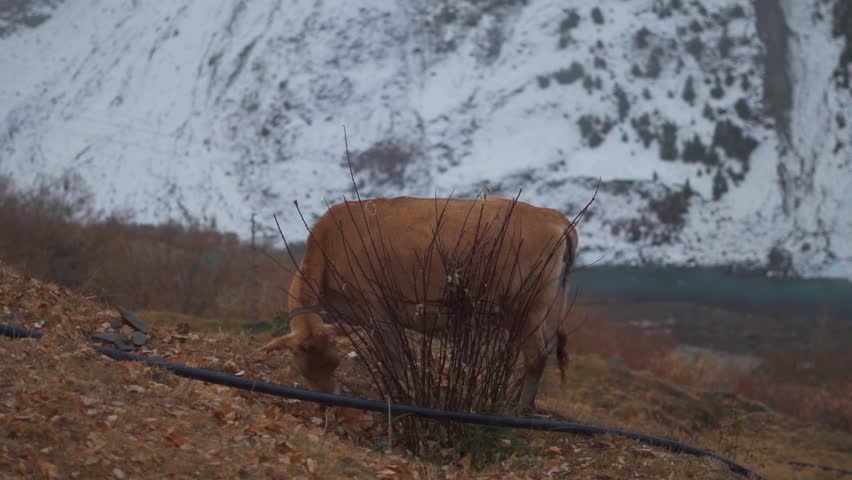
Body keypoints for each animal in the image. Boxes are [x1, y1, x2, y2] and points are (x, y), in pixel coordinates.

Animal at [261, 196, 578, 409]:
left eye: (335, 363)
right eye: (304, 369)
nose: (331, 401)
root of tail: (549, 215)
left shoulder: (377, 307)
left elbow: (394, 357)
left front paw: (403, 394)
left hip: (528, 305)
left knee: (536, 356)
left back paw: (519, 408)